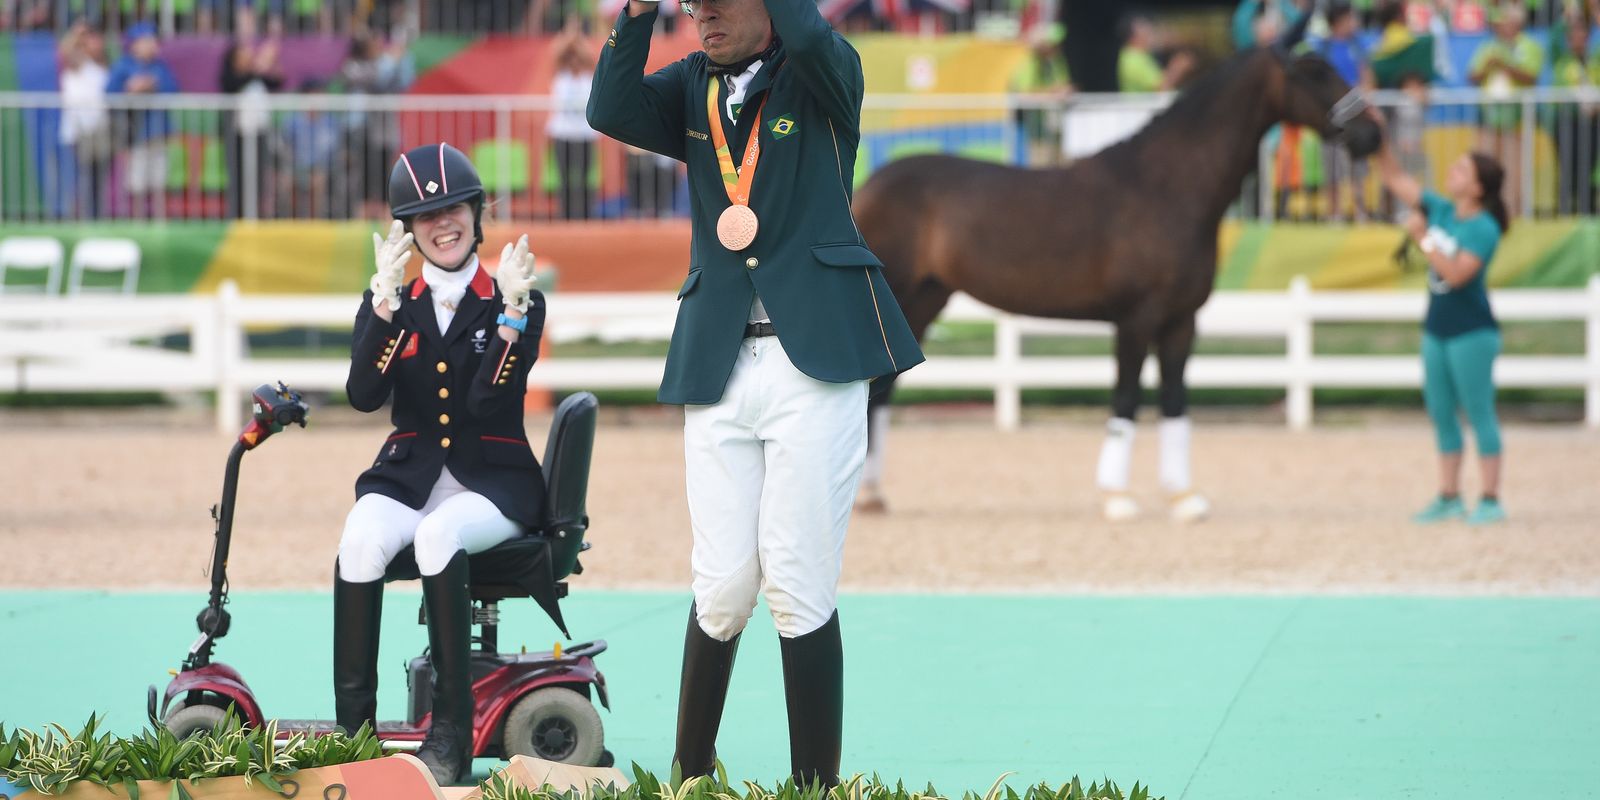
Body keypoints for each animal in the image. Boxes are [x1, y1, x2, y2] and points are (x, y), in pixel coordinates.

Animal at [857, 40, 1382, 521]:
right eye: (1313, 72)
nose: (1371, 134)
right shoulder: (1136, 319)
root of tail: (864, 187)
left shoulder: (1181, 322)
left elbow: (1174, 401)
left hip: (923, 303)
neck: (1166, 187)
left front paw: (1183, 497)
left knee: (882, 394)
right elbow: (1126, 399)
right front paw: (1117, 497)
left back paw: (872, 494)